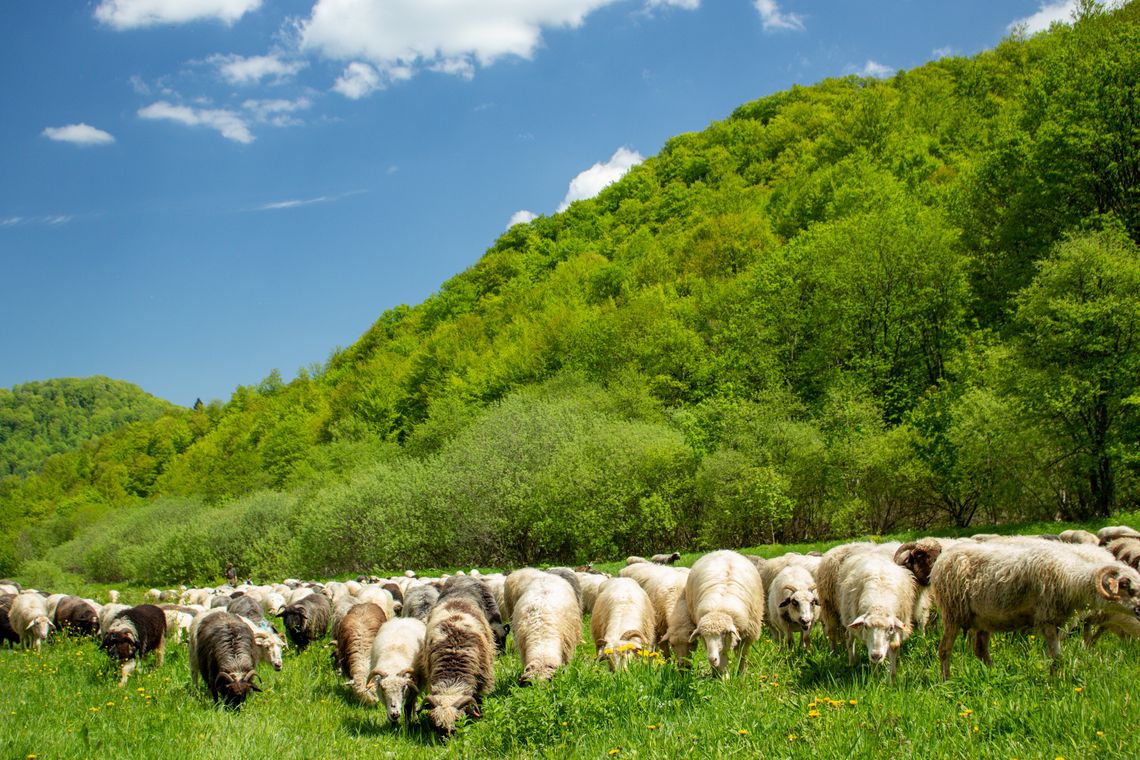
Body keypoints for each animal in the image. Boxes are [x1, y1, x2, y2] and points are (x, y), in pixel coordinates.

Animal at [839, 549, 916, 679]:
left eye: (890, 628)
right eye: (865, 626)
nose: (876, 656)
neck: (879, 603)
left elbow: (894, 646)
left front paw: (891, 679)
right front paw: (875, 677)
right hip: (848, 616)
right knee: (849, 639)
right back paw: (852, 662)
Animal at [930, 537, 1140, 679]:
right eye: (1126, 586)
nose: (1139, 610)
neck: (1071, 579)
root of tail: (942, 559)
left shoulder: (1057, 621)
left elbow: (1056, 656)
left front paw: (1053, 677)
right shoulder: (1046, 618)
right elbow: (1058, 656)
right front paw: (1055, 682)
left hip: (983, 619)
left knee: (981, 651)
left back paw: (995, 674)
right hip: (953, 613)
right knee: (944, 650)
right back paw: (946, 680)